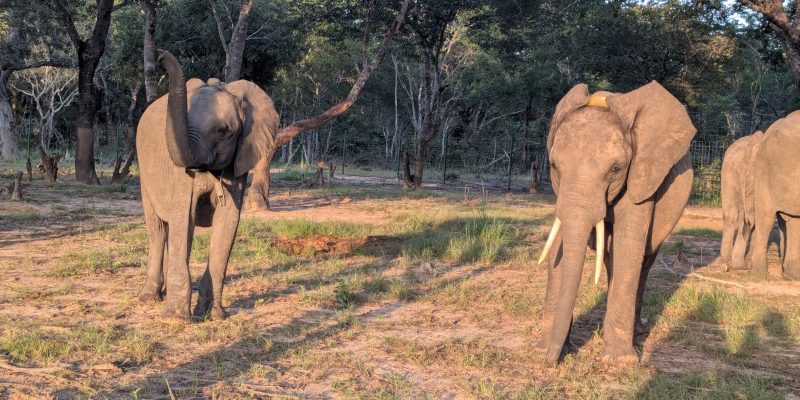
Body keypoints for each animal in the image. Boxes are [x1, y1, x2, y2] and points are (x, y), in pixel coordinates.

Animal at [136, 50, 279, 320]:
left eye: (223, 131)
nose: (159, 56)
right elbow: (185, 216)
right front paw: (176, 318)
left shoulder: (238, 160)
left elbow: (228, 219)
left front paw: (215, 315)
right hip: (143, 170)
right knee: (159, 229)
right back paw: (149, 298)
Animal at [535, 81, 696, 364]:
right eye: (554, 166)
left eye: (615, 170)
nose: (550, 362)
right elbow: (559, 248)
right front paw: (545, 349)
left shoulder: (642, 176)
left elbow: (629, 247)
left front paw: (620, 361)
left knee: (643, 260)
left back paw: (637, 331)